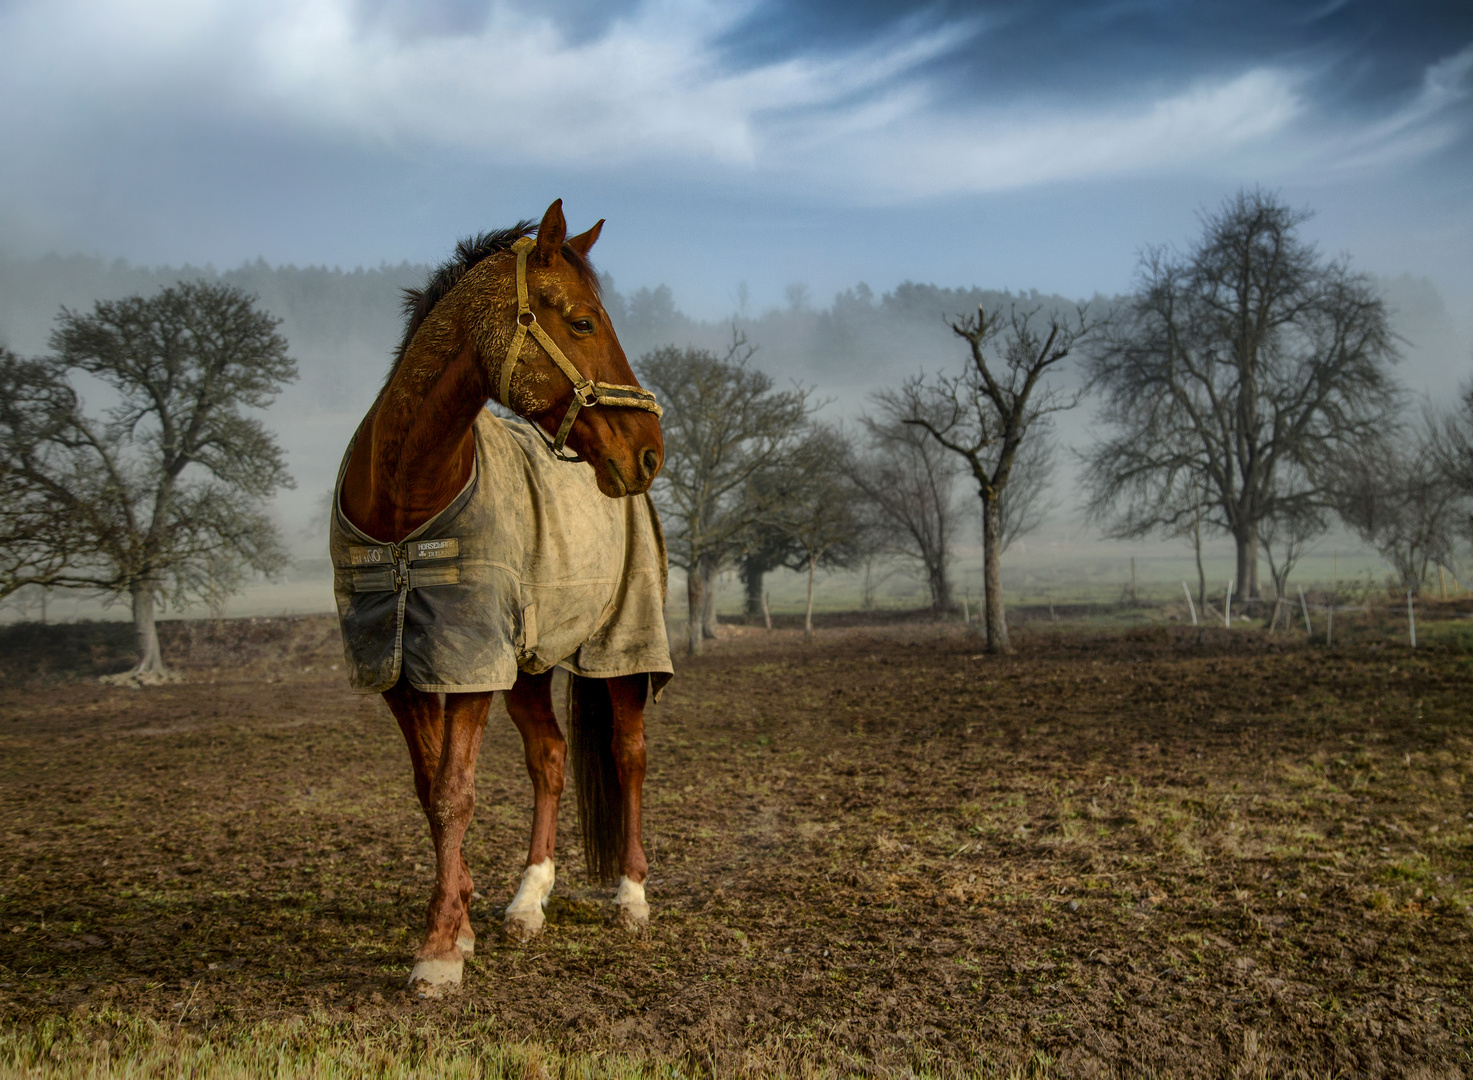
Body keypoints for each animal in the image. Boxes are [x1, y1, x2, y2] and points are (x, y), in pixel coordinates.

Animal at [331, 200, 671, 996]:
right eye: (582, 322)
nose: (648, 450)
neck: (405, 497)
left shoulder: (469, 666)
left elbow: (455, 793)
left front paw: (438, 951)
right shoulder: (403, 667)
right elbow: (430, 792)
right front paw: (460, 919)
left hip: (622, 651)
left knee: (629, 756)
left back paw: (631, 899)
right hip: (530, 666)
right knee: (549, 758)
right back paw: (527, 902)